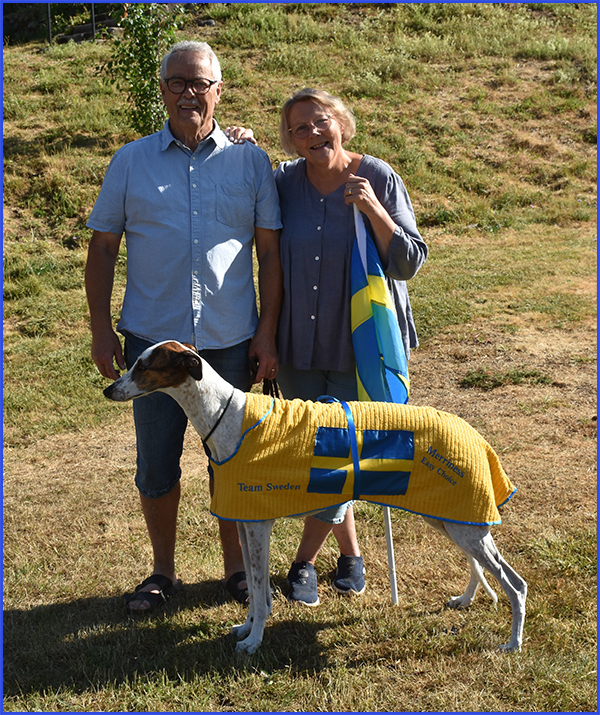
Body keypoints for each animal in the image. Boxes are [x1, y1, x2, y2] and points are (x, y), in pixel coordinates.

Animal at [105, 340, 528, 656]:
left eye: (143, 365)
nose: (108, 388)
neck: (228, 416)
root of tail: (471, 432)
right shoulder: (244, 520)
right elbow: (255, 592)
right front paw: (245, 628)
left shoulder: (259, 526)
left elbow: (260, 592)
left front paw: (254, 641)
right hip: (451, 518)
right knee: (478, 565)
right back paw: (466, 600)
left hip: (462, 522)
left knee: (514, 583)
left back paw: (512, 643)